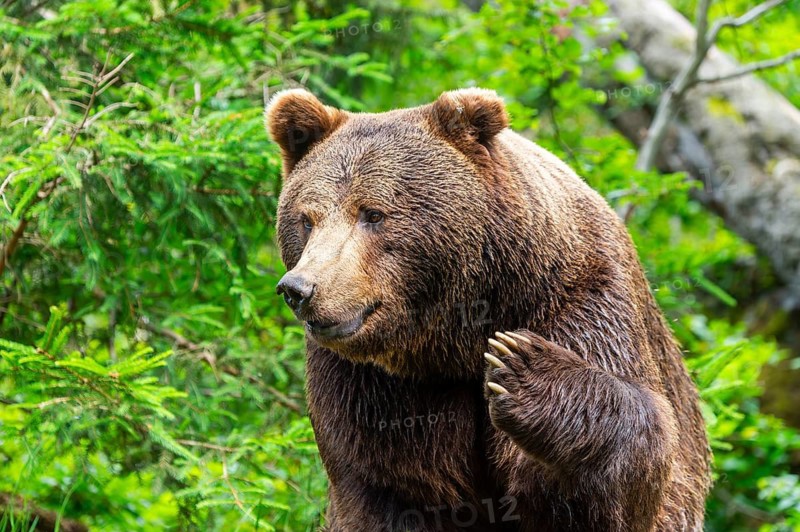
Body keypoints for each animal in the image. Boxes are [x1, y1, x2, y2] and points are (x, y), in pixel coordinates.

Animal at [266, 87, 711, 531]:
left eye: (373, 213)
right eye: (307, 219)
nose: (300, 288)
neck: (451, 342)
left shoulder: (582, 300)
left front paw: (522, 367)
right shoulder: (371, 387)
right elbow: (386, 486)